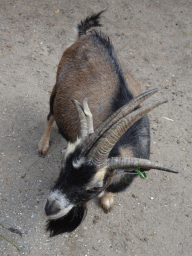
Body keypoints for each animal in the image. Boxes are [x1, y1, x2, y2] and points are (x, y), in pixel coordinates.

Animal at [38, 11, 178, 236]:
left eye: (95, 187)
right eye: (63, 161)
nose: (50, 208)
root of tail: (88, 36)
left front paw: (107, 200)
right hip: (56, 88)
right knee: (50, 115)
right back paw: (43, 144)